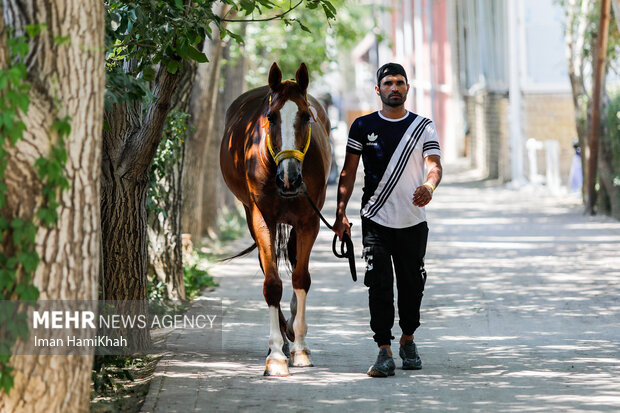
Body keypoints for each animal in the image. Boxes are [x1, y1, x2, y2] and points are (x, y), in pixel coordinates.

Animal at [220, 62, 332, 374]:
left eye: (305, 116)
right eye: (271, 117)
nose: (290, 177)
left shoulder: (309, 221)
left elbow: (300, 278)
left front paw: (301, 347)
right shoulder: (262, 219)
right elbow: (272, 283)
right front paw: (276, 355)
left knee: (293, 259)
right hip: (251, 216)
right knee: (266, 266)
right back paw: (282, 337)